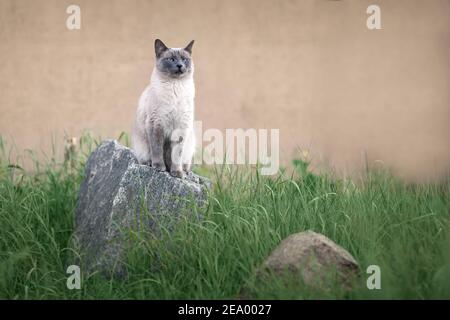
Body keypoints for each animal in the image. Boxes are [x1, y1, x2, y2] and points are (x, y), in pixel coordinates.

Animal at [131, 38, 196, 179]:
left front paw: (177, 173)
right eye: (171, 59)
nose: (180, 65)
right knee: (146, 157)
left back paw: (184, 171)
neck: (175, 86)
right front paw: (159, 167)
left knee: (184, 161)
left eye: (184, 59)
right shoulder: (156, 124)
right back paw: (150, 164)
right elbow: (157, 149)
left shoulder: (181, 128)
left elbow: (176, 155)